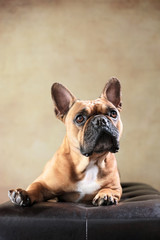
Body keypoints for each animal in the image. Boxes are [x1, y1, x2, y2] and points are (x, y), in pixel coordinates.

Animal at [8, 78, 123, 207]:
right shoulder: (43, 184)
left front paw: (106, 195)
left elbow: (109, 189)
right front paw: (23, 194)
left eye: (113, 113)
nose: (101, 120)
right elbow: (35, 187)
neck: (89, 162)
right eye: (80, 118)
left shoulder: (115, 187)